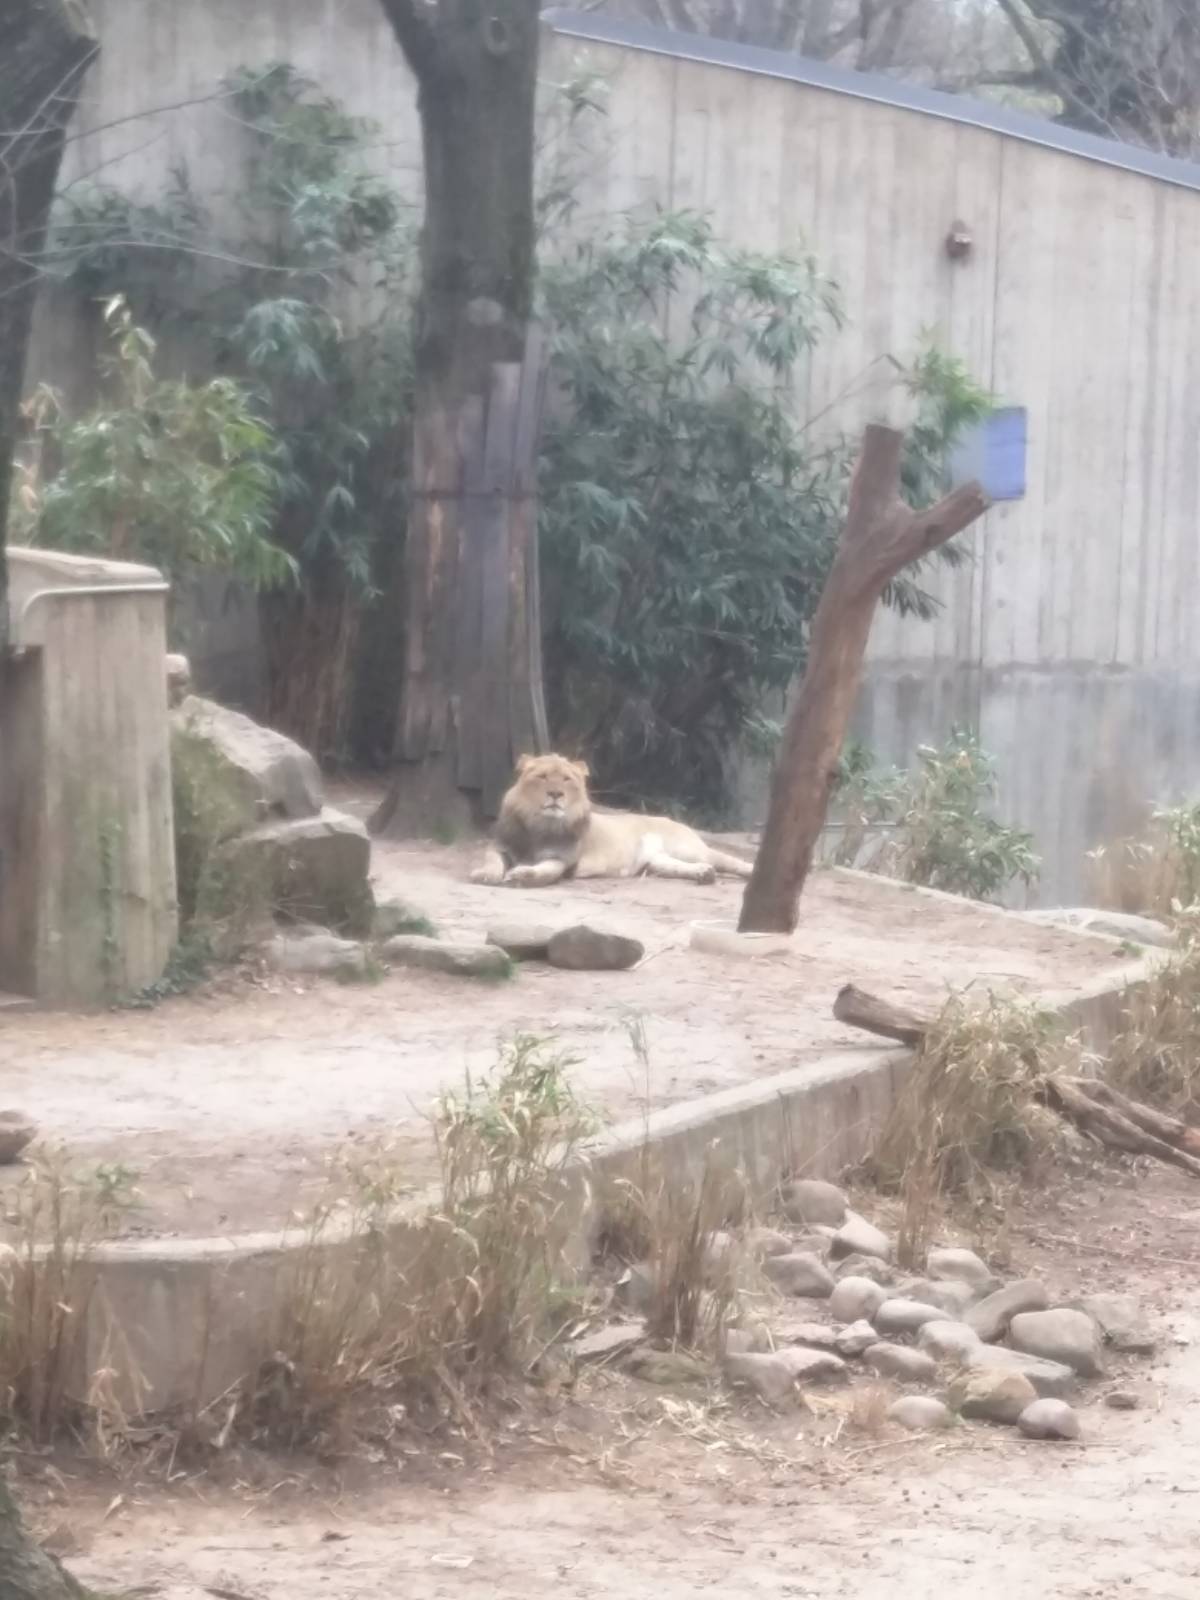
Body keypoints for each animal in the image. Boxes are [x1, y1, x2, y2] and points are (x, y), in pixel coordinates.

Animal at [469, 754, 755, 888]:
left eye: (566, 779)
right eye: (542, 777)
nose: (555, 794)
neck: (539, 826)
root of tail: (674, 820)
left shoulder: (563, 860)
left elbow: (544, 872)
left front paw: (521, 875)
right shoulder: (500, 845)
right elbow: (491, 859)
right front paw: (485, 874)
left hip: (689, 848)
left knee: (728, 860)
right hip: (657, 860)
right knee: (679, 867)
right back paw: (703, 874)